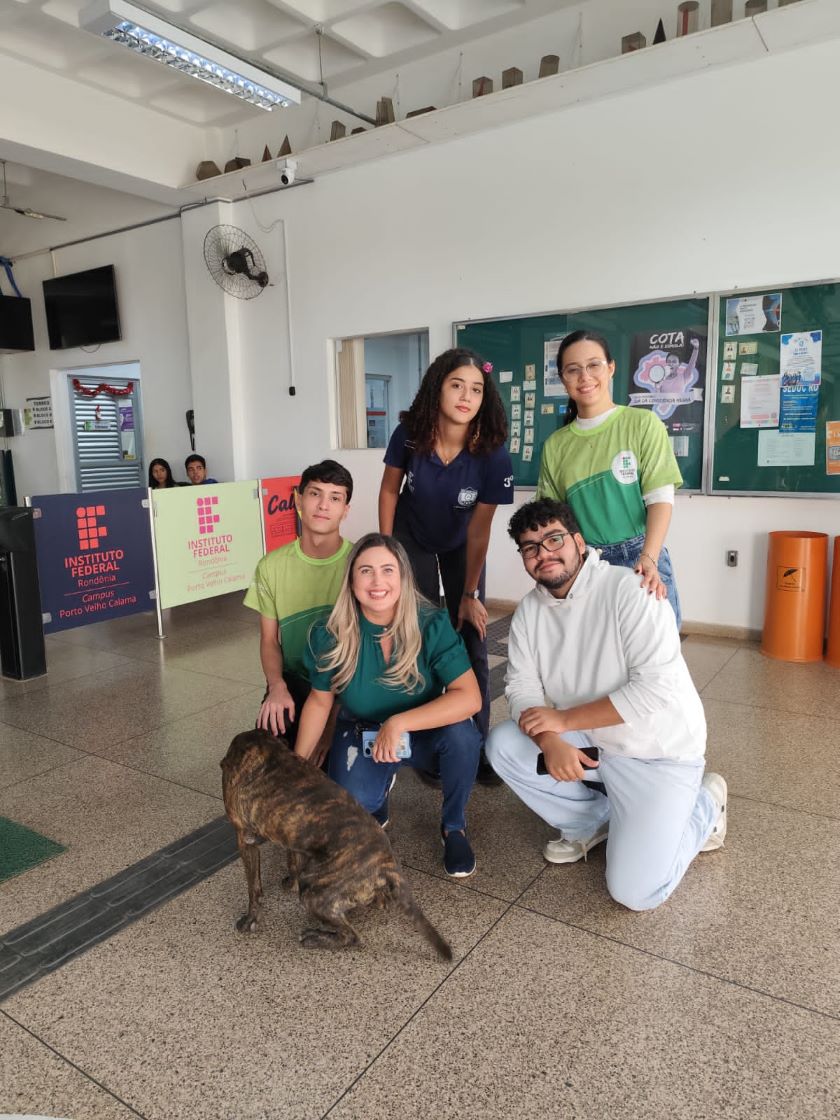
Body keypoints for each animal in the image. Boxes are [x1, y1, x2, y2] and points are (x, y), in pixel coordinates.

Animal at [220, 730, 450, 958]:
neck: (264, 745)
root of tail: (387, 863)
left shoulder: (244, 838)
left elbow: (253, 886)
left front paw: (250, 919)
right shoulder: (291, 835)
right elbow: (292, 860)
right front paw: (290, 882)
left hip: (315, 892)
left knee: (352, 936)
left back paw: (314, 937)